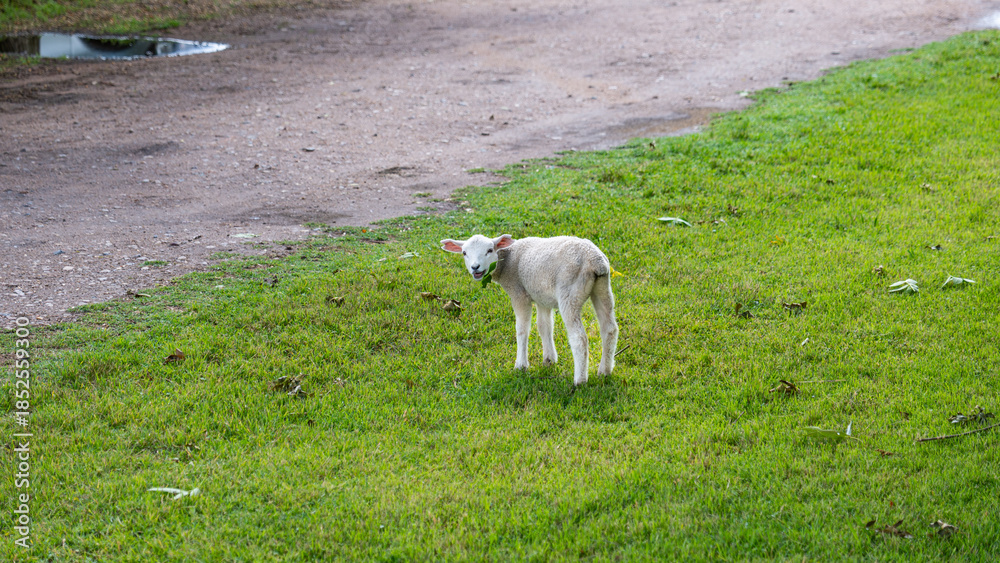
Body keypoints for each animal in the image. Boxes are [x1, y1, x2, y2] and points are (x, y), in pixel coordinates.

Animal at [440, 234, 618, 386]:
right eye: (464, 253)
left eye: (490, 250)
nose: (475, 268)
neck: (506, 261)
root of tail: (595, 261)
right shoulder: (541, 297)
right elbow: (544, 326)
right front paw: (549, 359)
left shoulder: (519, 293)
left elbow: (522, 329)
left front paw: (521, 365)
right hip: (602, 287)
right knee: (609, 329)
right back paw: (604, 371)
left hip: (569, 292)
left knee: (579, 338)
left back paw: (580, 380)